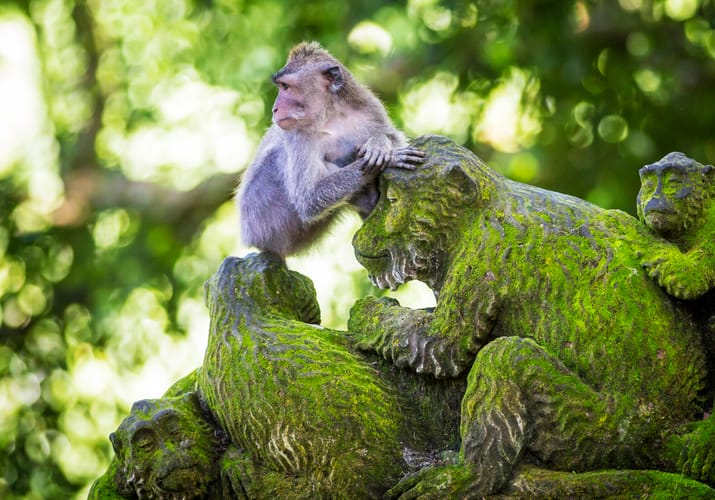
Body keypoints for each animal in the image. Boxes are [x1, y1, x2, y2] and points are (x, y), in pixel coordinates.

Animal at [237, 41, 424, 258]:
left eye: (285, 87)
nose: (275, 109)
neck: (331, 114)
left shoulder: (369, 107)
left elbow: (393, 135)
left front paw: (379, 144)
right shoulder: (296, 135)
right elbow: (309, 199)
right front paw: (392, 156)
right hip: (265, 219)